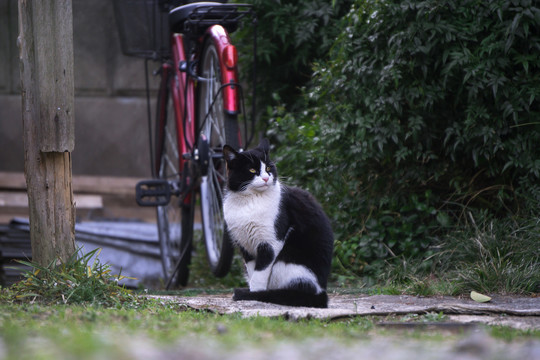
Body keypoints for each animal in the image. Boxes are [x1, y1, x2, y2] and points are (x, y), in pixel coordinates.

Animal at [220, 139, 332, 308]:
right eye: (252, 169)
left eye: (268, 168)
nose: (266, 178)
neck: (250, 201)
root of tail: (321, 292)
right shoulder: (245, 245)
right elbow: (253, 272)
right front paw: (254, 293)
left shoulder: (271, 243)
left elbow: (259, 275)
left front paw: (254, 296)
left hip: (289, 260)